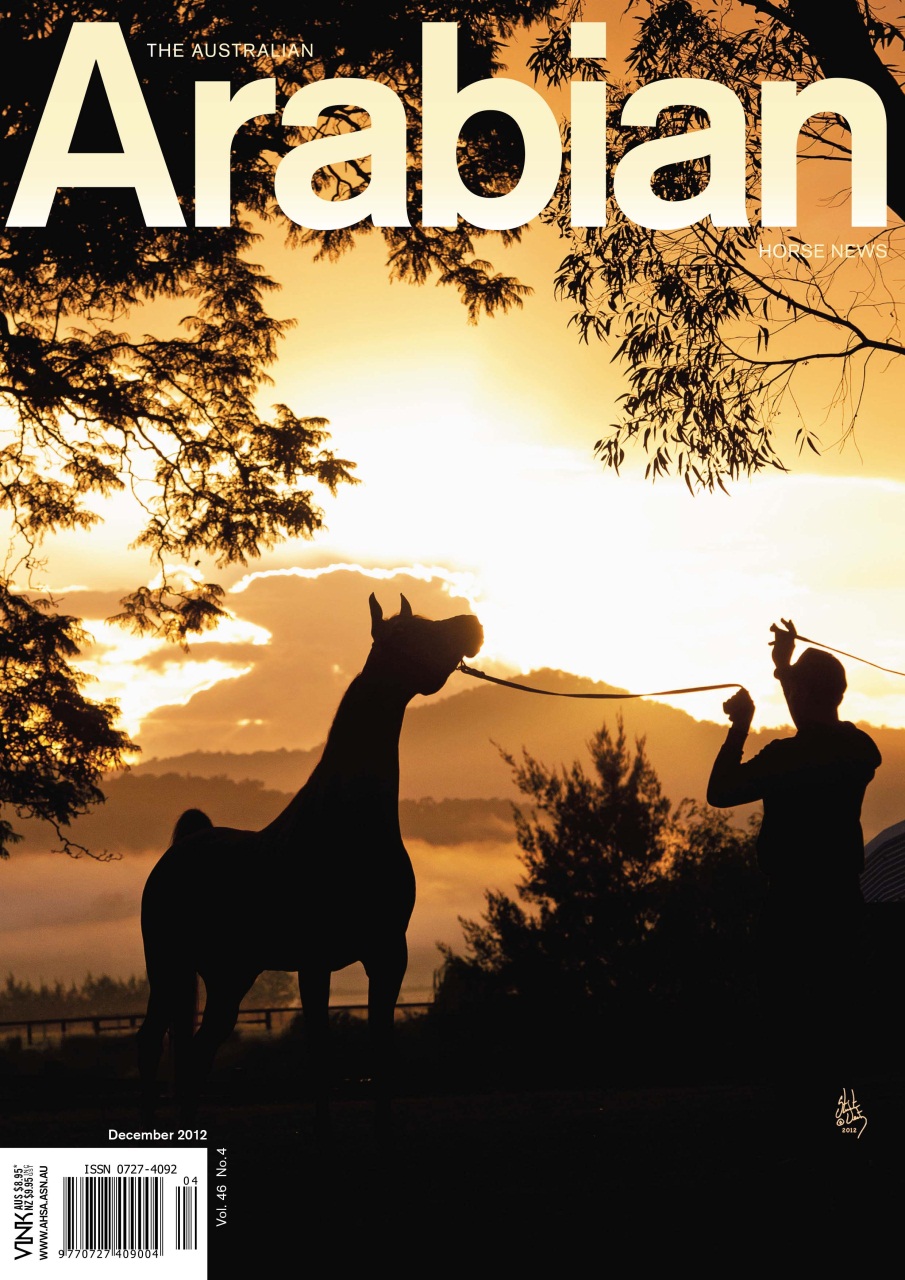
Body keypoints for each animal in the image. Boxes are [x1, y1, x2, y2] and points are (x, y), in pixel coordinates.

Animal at [137, 592, 483, 1119]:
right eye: (407, 632)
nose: (472, 624)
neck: (348, 822)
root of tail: (180, 850)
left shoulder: (388, 956)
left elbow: (381, 1059)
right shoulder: (314, 963)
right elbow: (320, 1063)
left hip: (228, 976)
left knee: (195, 1056)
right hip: (169, 969)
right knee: (153, 1045)